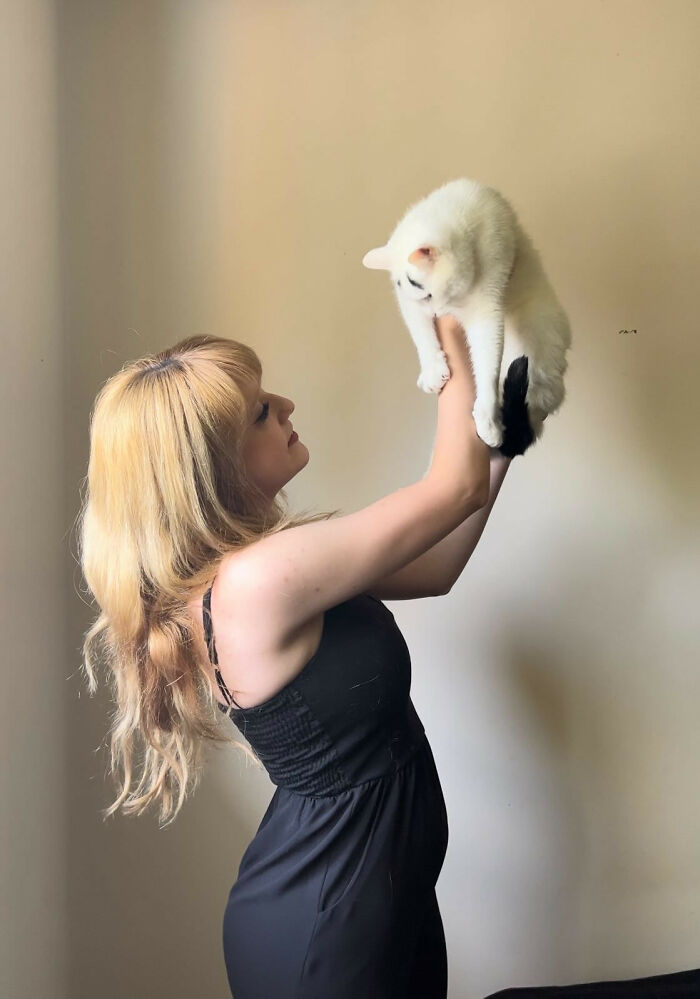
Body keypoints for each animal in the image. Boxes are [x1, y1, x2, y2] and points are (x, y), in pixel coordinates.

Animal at [364, 180, 572, 458]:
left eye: (428, 294)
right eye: (422, 298)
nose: (438, 313)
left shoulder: (486, 312)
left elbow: (487, 366)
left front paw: (487, 420)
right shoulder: (408, 305)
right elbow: (421, 336)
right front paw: (433, 370)